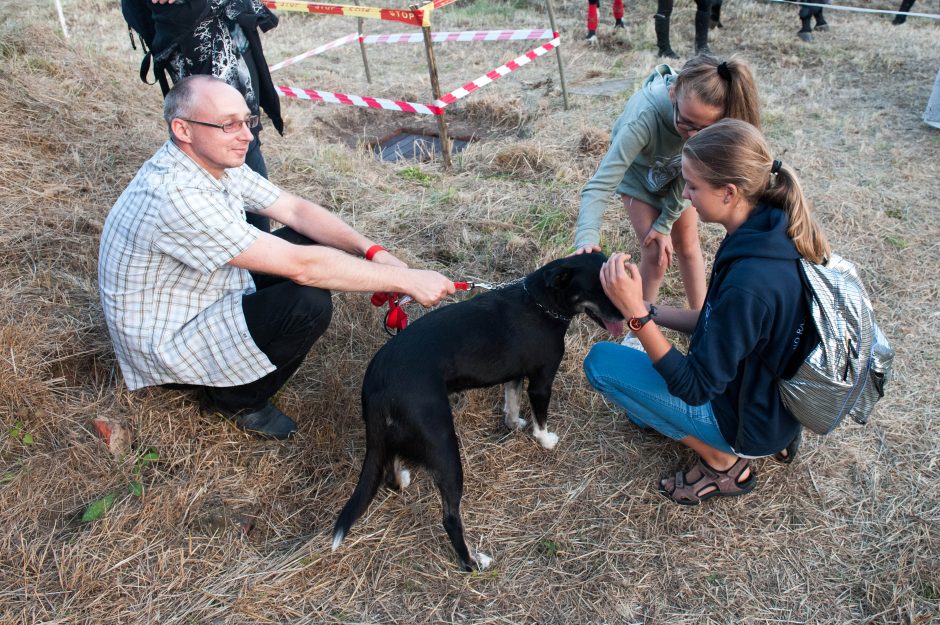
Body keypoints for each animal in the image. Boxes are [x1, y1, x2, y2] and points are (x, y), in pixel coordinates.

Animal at [330, 252, 624, 572]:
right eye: (598, 290)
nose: (627, 317)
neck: (541, 302)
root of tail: (377, 380)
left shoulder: (515, 375)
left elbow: (511, 403)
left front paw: (513, 423)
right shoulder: (542, 382)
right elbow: (541, 419)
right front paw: (545, 440)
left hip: (392, 432)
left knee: (390, 475)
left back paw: (403, 481)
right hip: (443, 445)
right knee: (449, 517)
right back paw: (472, 561)